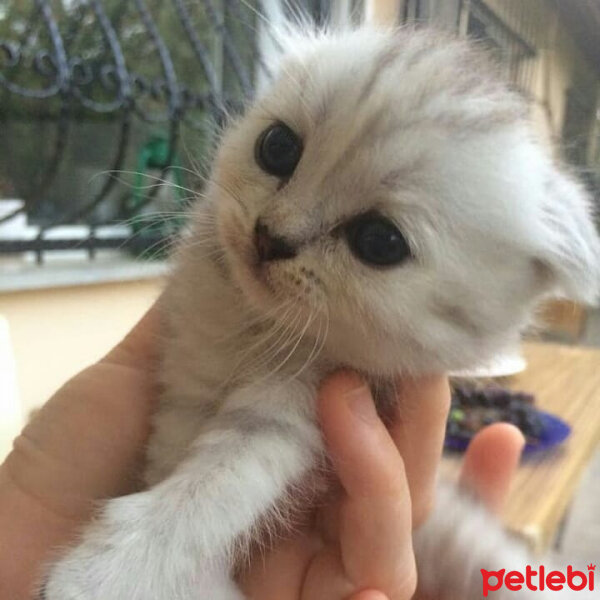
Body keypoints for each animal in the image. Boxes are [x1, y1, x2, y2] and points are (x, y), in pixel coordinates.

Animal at [43, 24, 600, 600]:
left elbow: (214, 488)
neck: (255, 328)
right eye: (277, 148)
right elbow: (177, 465)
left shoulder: (292, 414)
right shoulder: (186, 390)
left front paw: (109, 571)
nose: (270, 237)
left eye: (379, 241)